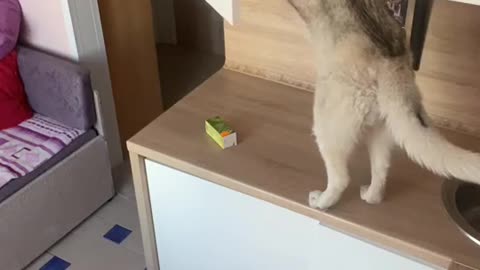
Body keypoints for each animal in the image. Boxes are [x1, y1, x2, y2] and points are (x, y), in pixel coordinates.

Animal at [286, 0, 480, 210]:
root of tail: (392, 65)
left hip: (327, 122)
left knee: (341, 178)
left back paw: (321, 201)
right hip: (382, 129)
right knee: (380, 173)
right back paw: (370, 195)